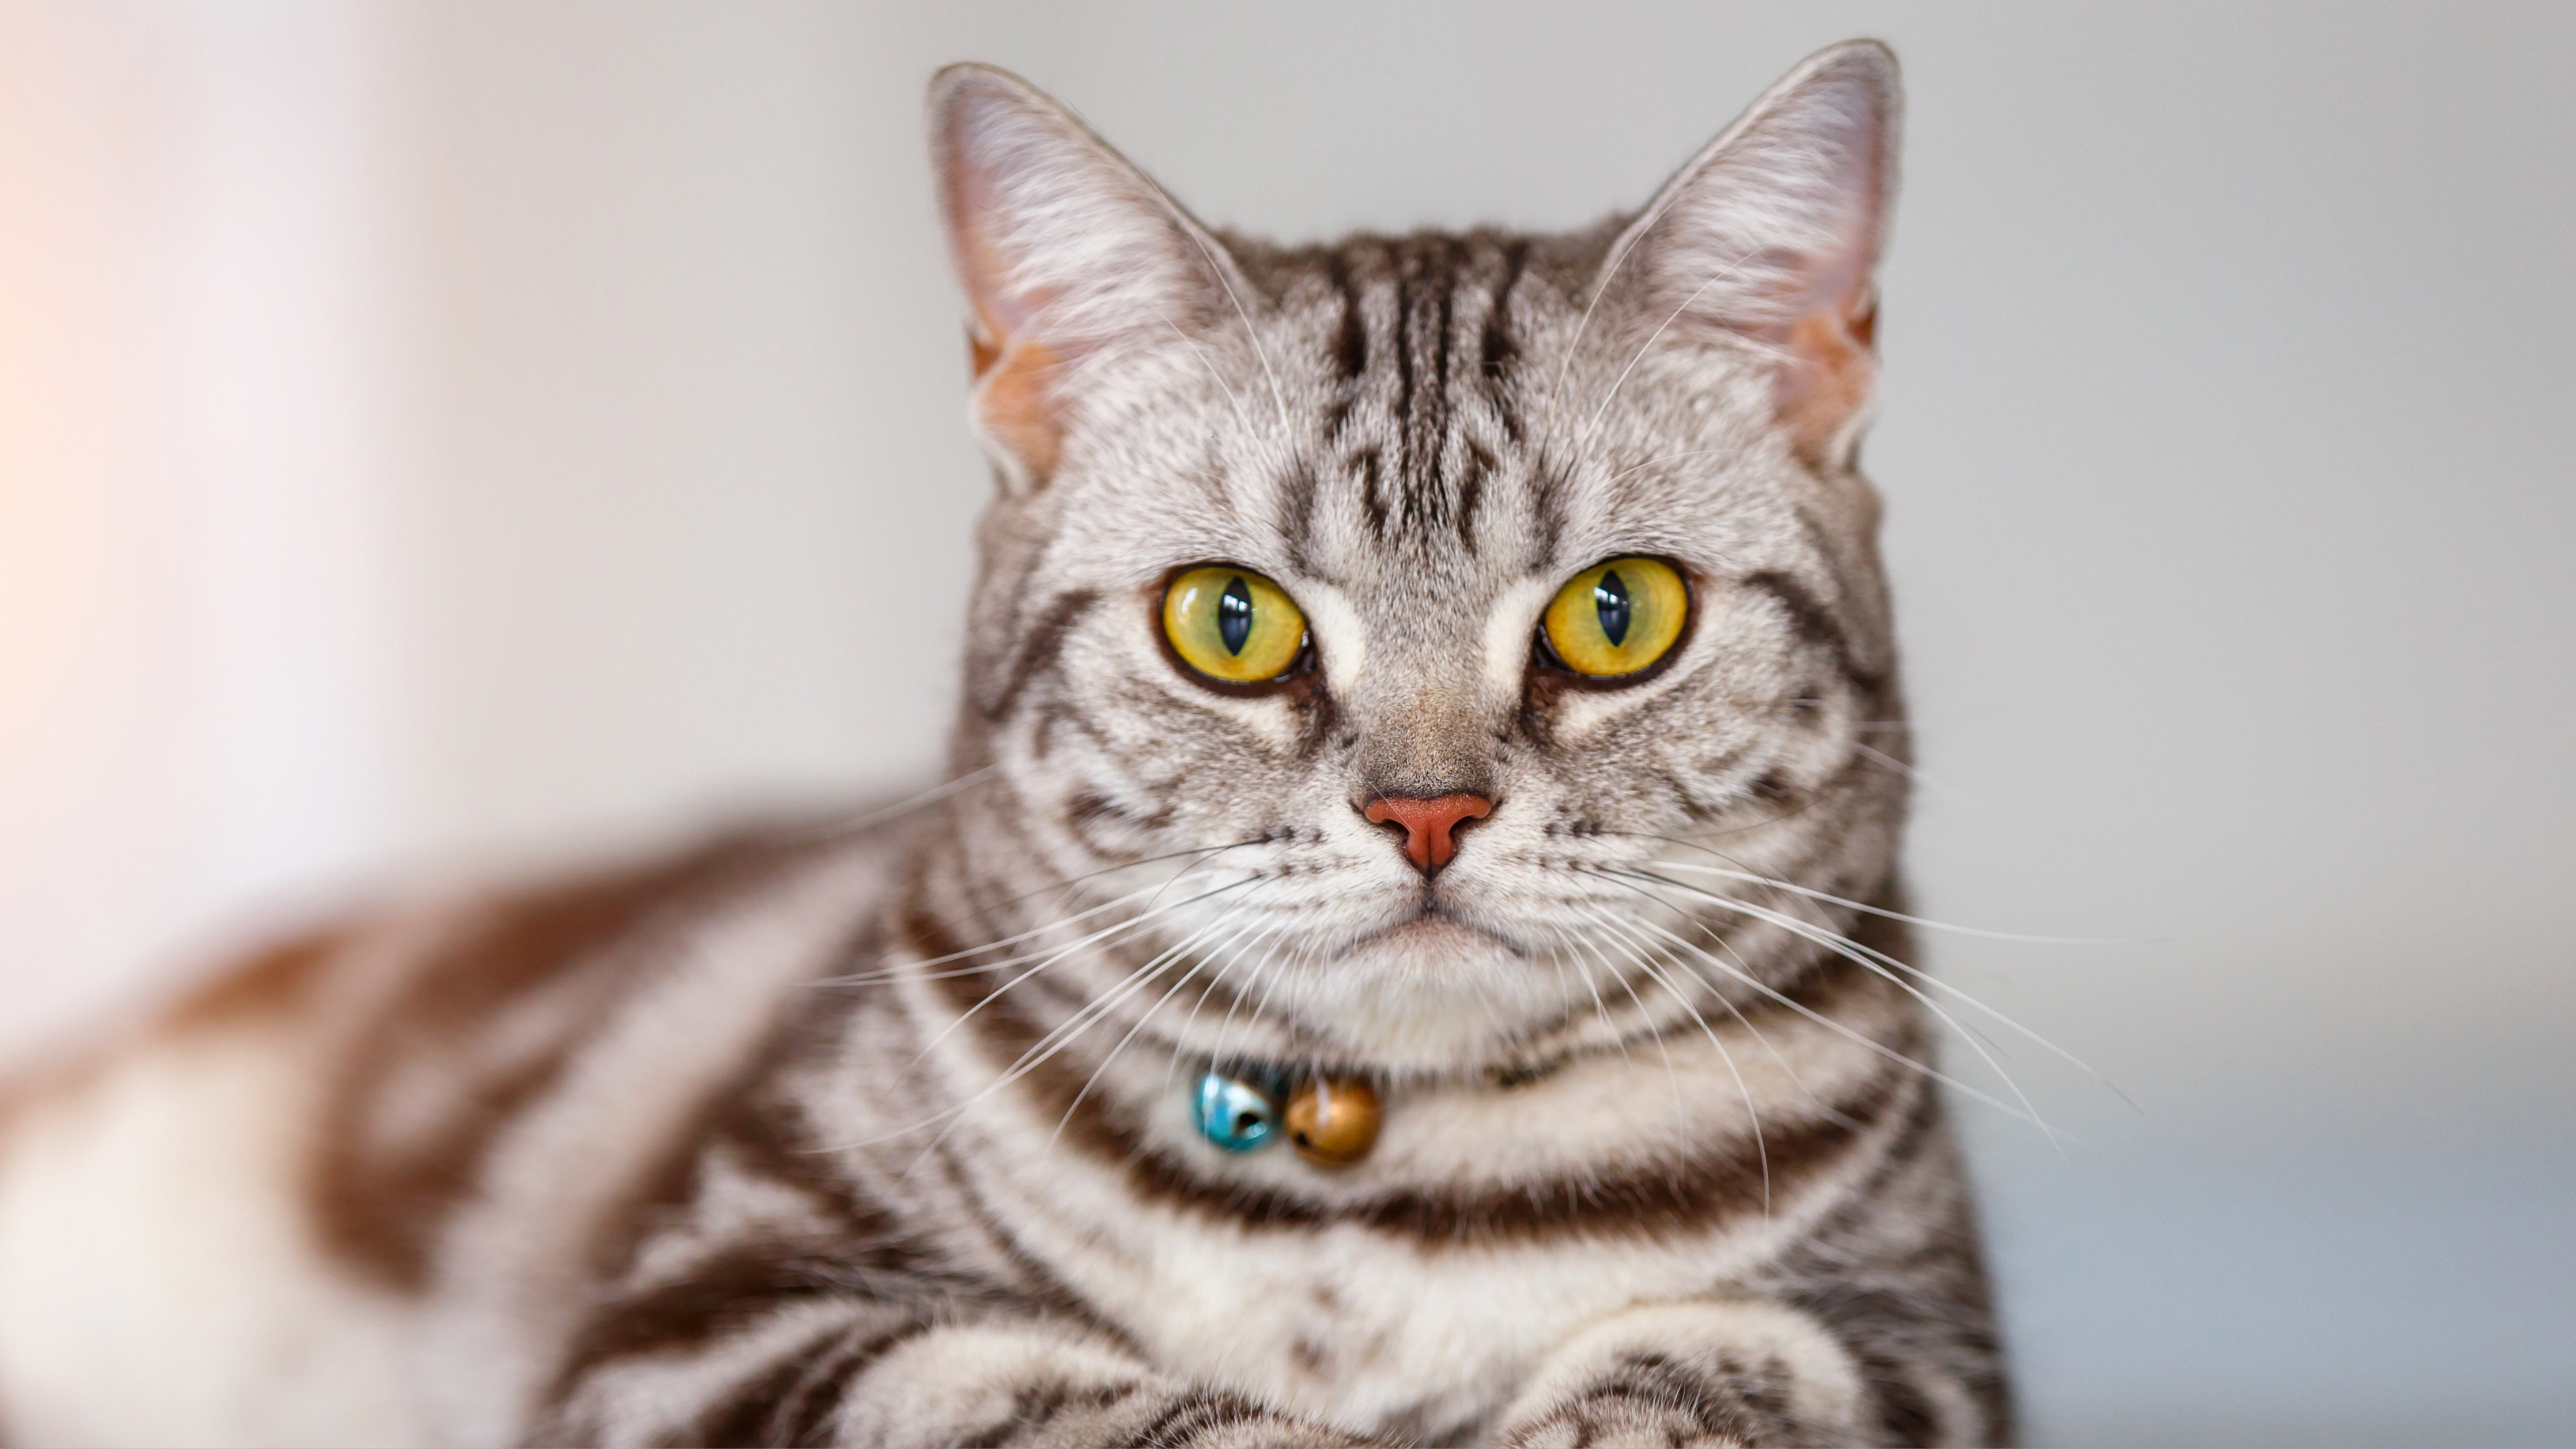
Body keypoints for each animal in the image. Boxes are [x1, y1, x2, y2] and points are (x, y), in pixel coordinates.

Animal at [0, 37, 2009, 1449]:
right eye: (1229, 621)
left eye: (1614, 615)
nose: (1425, 809)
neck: (1382, 1190)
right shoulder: (716, 1308)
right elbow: (1098, 1404)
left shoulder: (1918, 1337)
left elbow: (1717, 1365)